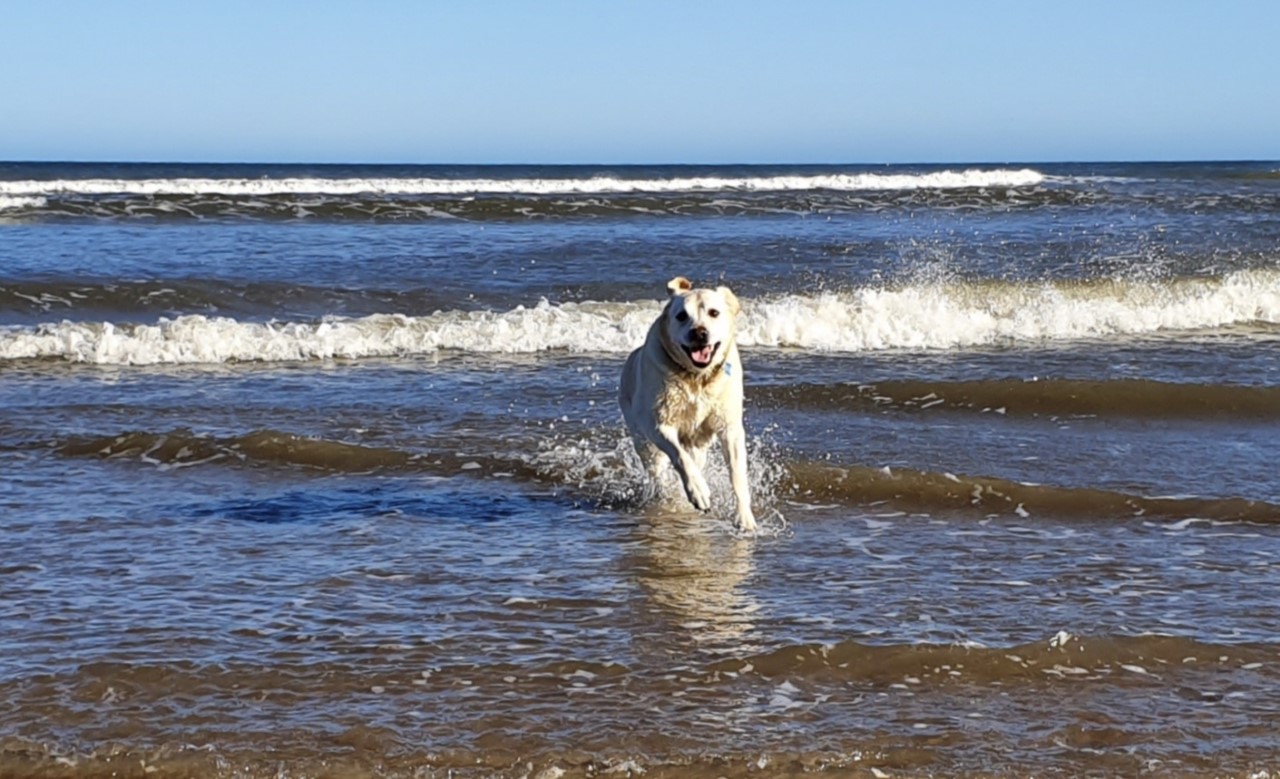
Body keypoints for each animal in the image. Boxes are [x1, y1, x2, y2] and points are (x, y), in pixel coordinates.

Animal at [616, 276, 752, 532]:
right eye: (681, 316)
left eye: (714, 312)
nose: (699, 333)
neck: (697, 378)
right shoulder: (658, 424)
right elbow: (679, 456)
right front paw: (699, 491)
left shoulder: (730, 427)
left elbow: (738, 475)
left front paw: (745, 518)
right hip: (642, 439)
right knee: (658, 469)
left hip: (700, 443)